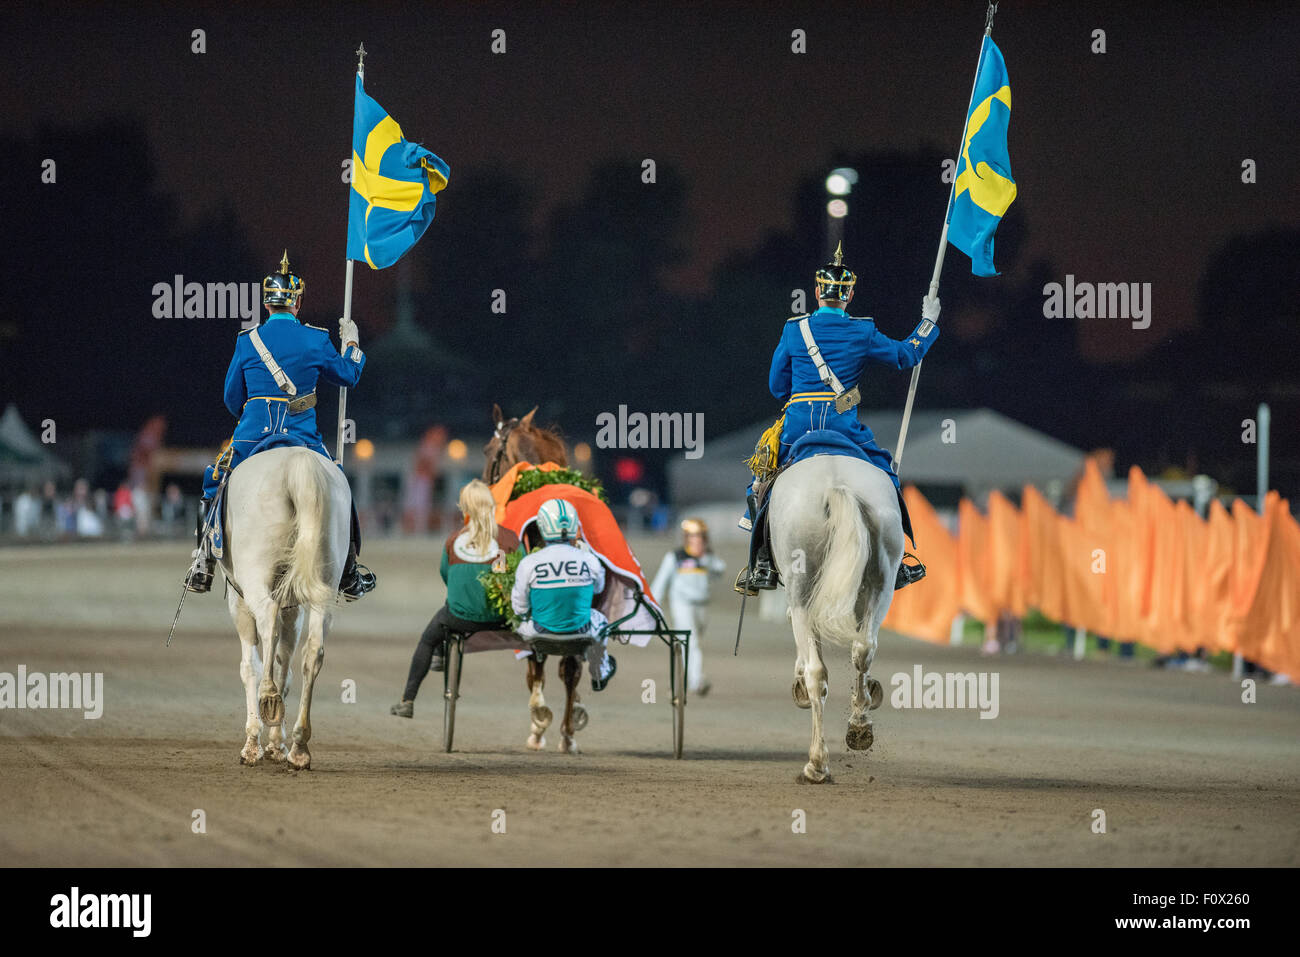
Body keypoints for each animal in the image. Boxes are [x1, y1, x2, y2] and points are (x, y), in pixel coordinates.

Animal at [219, 447, 351, 769]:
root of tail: (297, 465)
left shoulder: (238, 601)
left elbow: (250, 666)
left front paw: (253, 744)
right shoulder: (293, 607)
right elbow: (284, 663)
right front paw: (277, 744)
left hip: (254, 580)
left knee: (266, 620)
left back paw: (268, 699)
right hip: (323, 586)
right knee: (312, 652)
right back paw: (299, 747)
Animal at [764, 442, 899, 785]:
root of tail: (837, 486)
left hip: (801, 587)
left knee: (817, 672)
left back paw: (816, 764)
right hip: (882, 582)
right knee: (863, 649)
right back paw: (859, 727)